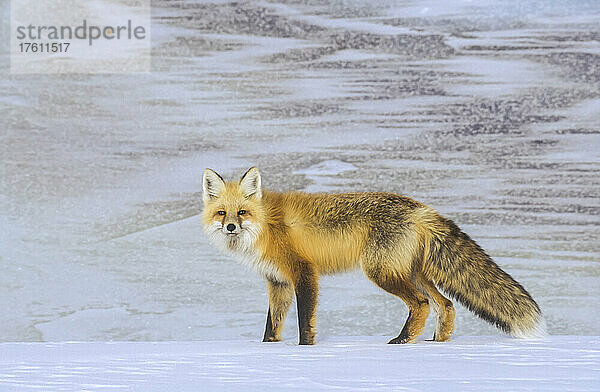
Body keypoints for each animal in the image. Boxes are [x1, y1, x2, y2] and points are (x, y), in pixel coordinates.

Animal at [202, 167, 544, 344]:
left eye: (242, 212)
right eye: (222, 213)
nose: (231, 226)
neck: (266, 226)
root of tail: (419, 206)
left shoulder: (303, 273)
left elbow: (304, 322)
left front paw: (305, 350)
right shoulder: (278, 282)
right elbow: (272, 327)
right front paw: (268, 351)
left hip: (382, 272)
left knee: (422, 304)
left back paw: (402, 341)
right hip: (414, 273)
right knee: (445, 305)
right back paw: (436, 343)